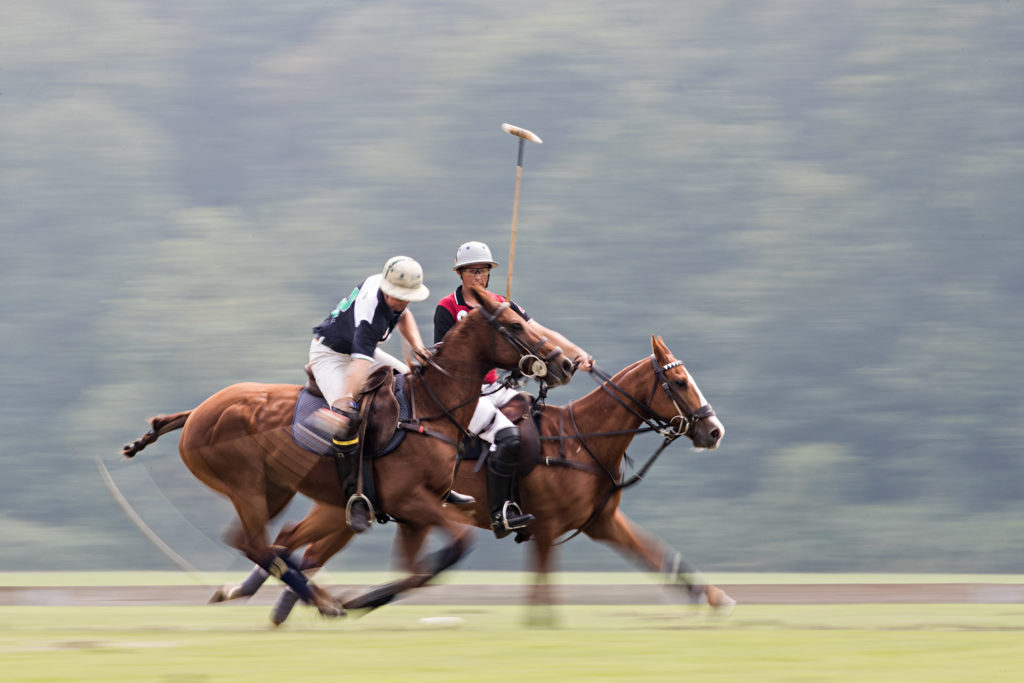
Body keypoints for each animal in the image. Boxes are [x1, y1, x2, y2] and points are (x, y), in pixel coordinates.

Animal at [119, 286, 577, 618]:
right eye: (515, 324)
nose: (565, 364)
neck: (432, 407)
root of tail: (197, 411)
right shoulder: (410, 500)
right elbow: (453, 548)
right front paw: (359, 599)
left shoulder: (416, 512)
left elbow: (419, 570)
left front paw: (365, 597)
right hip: (244, 484)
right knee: (255, 542)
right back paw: (321, 601)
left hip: (277, 489)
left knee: (269, 542)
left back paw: (288, 596)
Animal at [216, 333, 733, 622]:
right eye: (680, 382)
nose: (714, 431)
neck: (579, 439)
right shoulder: (546, 526)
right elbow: (541, 588)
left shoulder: (602, 522)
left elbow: (659, 555)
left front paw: (715, 598)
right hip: (348, 508)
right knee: (294, 544)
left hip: (347, 510)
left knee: (296, 543)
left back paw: (281, 602)